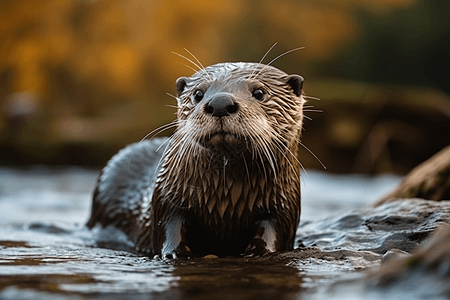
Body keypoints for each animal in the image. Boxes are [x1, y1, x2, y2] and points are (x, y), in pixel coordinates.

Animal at [87, 61, 306, 258]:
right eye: (198, 94)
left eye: (259, 92)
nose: (220, 103)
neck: (226, 198)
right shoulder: (168, 197)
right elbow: (170, 228)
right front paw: (174, 253)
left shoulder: (284, 207)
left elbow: (273, 231)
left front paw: (259, 251)